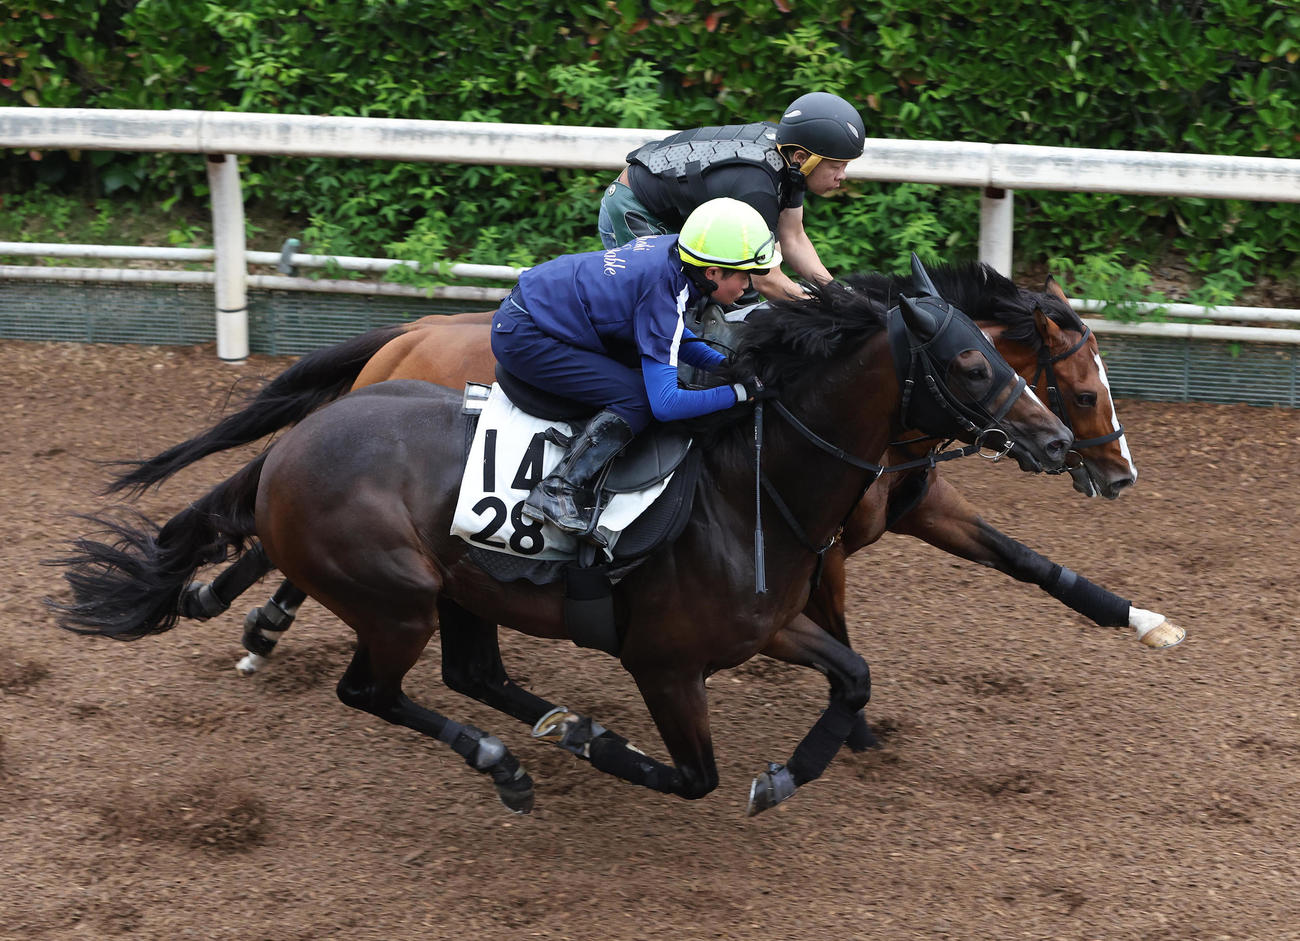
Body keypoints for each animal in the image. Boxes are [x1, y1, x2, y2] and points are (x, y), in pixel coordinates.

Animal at [53, 270, 1073, 815]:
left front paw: (789, 773)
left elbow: (853, 676)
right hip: (396, 598)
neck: (752, 488)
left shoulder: (772, 626)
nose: (1059, 440)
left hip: (461, 589)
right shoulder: (666, 663)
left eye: (1003, 353)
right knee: (371, 690)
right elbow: (696, 776)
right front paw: (611, 745)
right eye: (971, 362)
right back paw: (515, 759)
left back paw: (539, 729)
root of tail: (291, 448)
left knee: (473, 674)